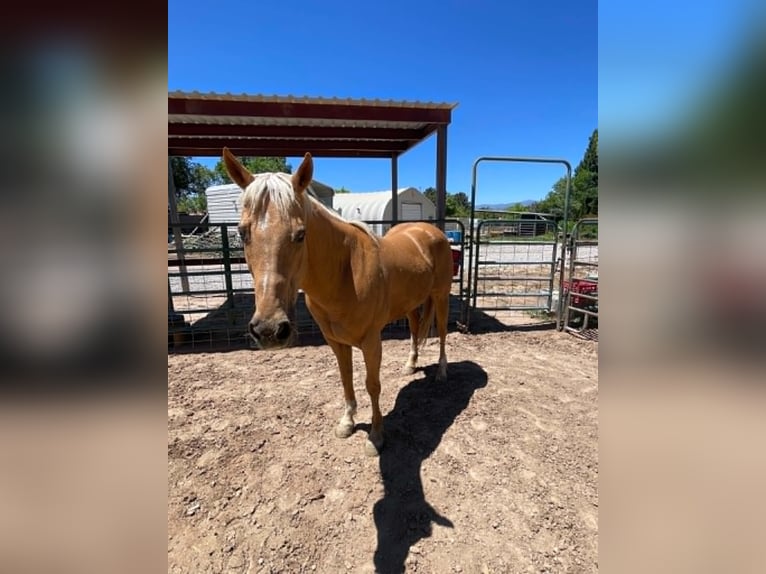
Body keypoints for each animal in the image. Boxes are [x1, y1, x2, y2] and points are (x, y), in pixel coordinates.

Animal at [222, 148, 454, 456]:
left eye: (300, 234)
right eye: (241, 232)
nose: (269, 330)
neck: (346, 273)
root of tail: (432, 232)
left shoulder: (371, 342)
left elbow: (372, 384)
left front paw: (376, 437)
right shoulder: (335, 341)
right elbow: (346, 379)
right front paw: (347, 422)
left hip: (440, 296)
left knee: (442, 333)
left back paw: (442, 372)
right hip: (411, 304)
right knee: (416, 328)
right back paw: (410, 365)